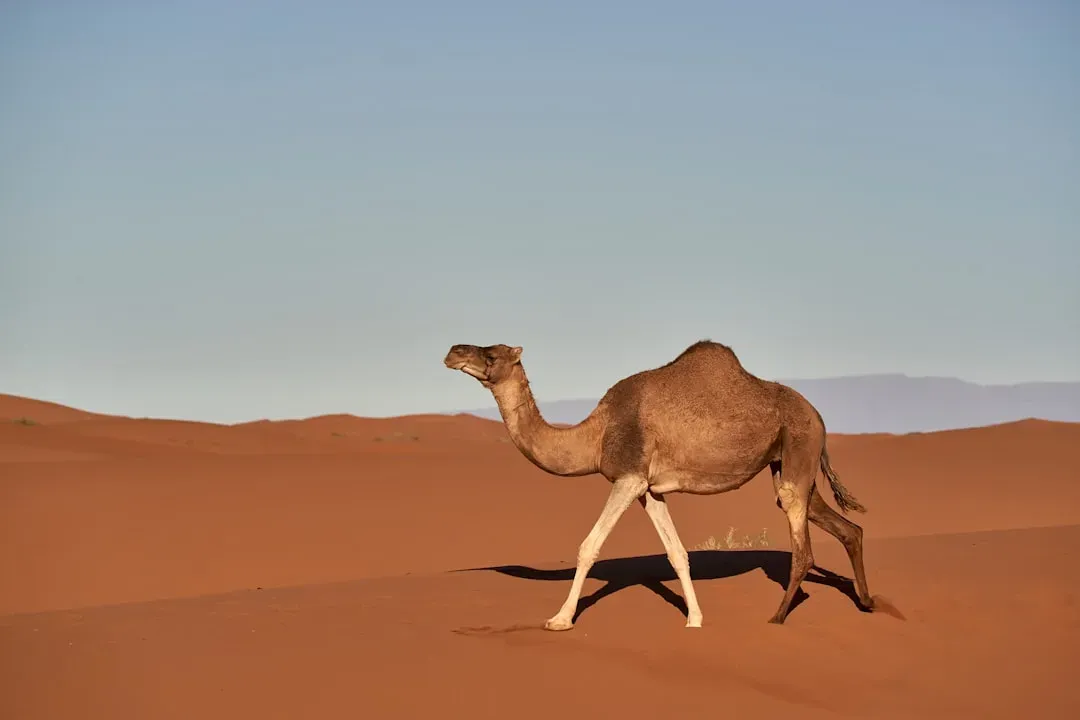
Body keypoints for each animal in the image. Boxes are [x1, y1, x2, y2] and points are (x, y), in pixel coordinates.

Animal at [443, 340, 875, 630]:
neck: (595, 435)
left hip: (799, 448)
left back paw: (778, 617)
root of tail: (818, 415)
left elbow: (588, 546)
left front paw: (560, 619)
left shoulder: (628, 477)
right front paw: (695, 619)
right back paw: (868, 601)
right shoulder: (649, 490)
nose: (452, 352)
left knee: (802, 547)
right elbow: (677, 554)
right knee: (847, 528)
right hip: (788, 462)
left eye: (491, 355)